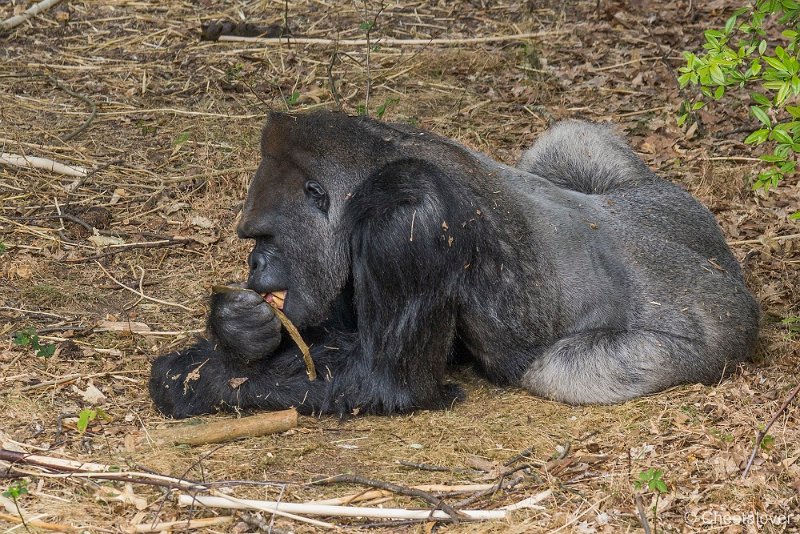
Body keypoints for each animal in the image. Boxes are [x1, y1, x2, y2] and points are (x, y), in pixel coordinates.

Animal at [148, 111, 756, 420]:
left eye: (264, 235)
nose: (255, 263)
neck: (369, 174)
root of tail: (734, 276)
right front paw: (236, 331)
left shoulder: (407, 222)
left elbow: (383, 382)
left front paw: (196, 379)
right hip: (666, 202)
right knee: (570, 137)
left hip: (715, 331)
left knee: (554, 371)